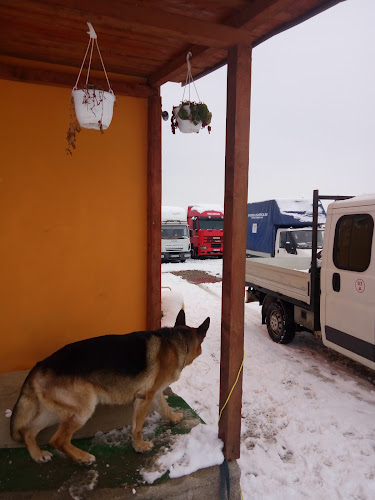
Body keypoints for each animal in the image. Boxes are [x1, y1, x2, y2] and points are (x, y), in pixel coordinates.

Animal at [10, 310, 210, 462]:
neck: (179, 340)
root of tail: (40, 365)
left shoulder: (154, 392)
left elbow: (164, 406)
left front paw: (173, 418)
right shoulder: (145, 397)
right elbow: (137, 427)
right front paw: (140, 446)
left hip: (53, 412)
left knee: (28, 431)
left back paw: (38, 454)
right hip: (82, 410)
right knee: (58, 440)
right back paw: (82, 457)